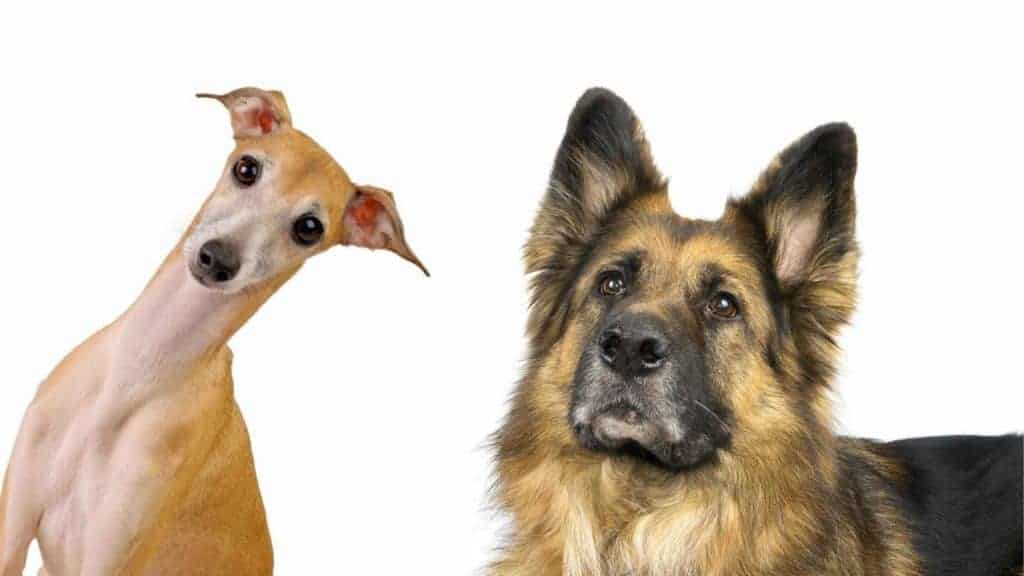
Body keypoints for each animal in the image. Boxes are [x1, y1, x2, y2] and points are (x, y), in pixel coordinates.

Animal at [0, 87, 425, 569]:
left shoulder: (113, 554)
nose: (217, 259)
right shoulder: (13, 527)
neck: (140, 368)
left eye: (309, 227)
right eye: (246, 168)